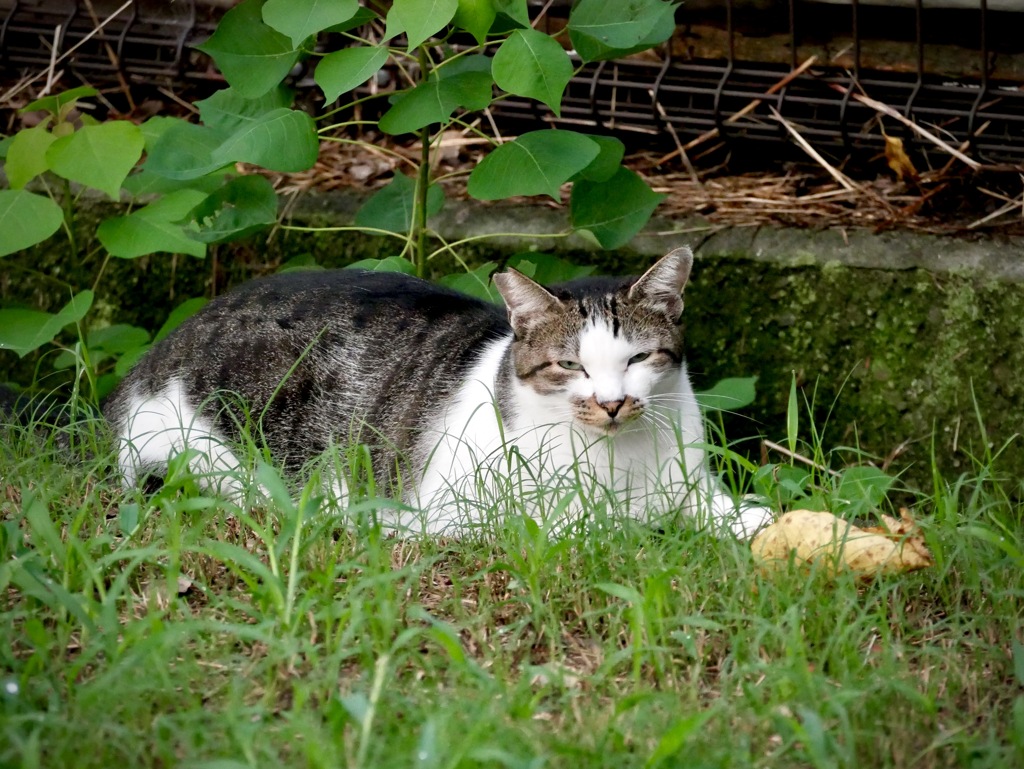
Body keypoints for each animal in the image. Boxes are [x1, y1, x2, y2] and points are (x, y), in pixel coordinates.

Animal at [105, 249, 774, 536]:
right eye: (571, 366)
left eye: (637, 359)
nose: (612, 403)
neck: (617, 460)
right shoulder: (456, 510)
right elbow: (580, 527)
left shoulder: (689, 482)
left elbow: (735, 512)